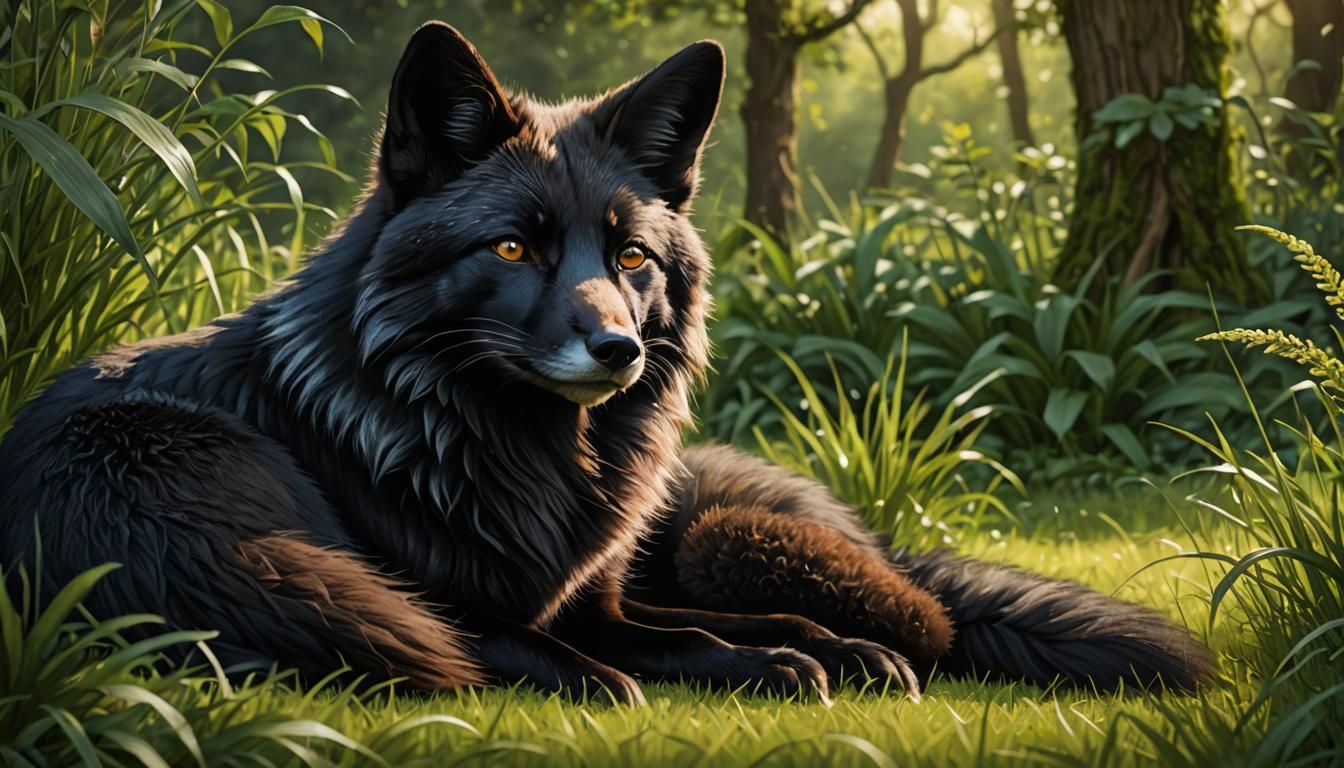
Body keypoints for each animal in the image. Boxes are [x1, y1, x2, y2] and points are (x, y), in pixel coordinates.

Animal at [0, 22, 1212, 704]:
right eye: (513, 248)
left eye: (630, 257)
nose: (618, 347)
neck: (512, 447)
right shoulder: (498, 611)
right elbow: (540, 647)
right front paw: (649, 681)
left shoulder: (599, 603)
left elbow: (739, 630)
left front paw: (824, 655)